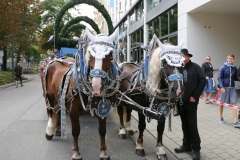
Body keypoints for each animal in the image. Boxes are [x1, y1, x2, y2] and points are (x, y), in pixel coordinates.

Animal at [42, 28, 119, 159]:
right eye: (91, 54)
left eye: (110, 54)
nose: (96, 85)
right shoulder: (73, 110)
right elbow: (76, 131)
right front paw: (76, 152)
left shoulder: (102, 108)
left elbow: (102, 130)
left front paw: (103, 152)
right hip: (49, 95)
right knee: (51, 111)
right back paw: (50, 130)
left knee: (58, 110)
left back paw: (58, 129)